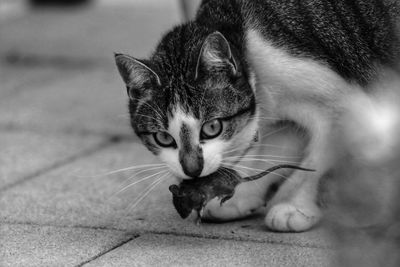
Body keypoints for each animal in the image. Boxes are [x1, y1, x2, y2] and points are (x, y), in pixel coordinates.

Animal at [114, 0, 398, 232]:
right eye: (163, 138)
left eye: (212, 127)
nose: (192, 169)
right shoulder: (286, 117)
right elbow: (274, 151)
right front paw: (242, 194)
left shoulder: (348, 107)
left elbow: (316, 164)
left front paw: (295, 205)